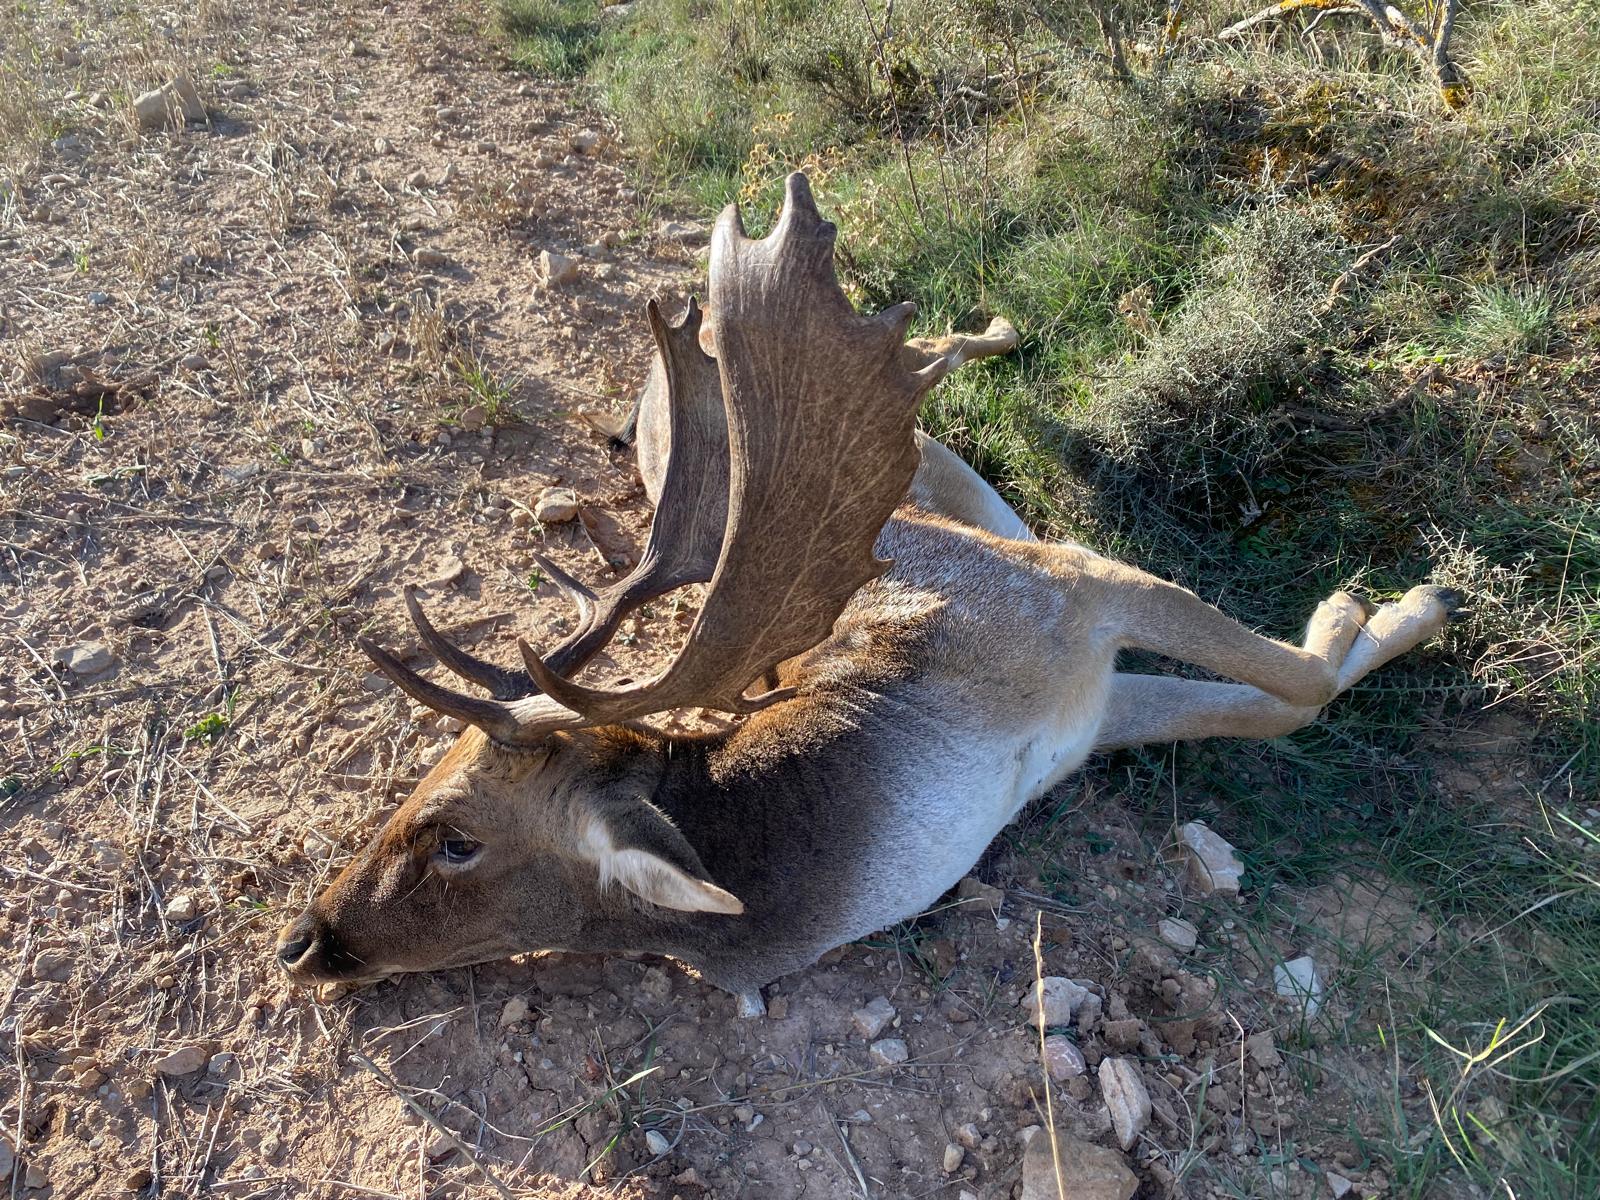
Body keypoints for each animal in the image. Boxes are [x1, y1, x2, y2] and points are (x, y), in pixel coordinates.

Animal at [276, 174, 1459, 1016]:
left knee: (931, 340)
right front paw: (1380, 613)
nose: (304, 941)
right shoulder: (1084, 694)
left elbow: (1291, 677)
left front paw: (1392, 603)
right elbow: (1279, 707)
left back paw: (999, 321)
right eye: (413, 789)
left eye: (454, 833)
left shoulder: (1067, 584)